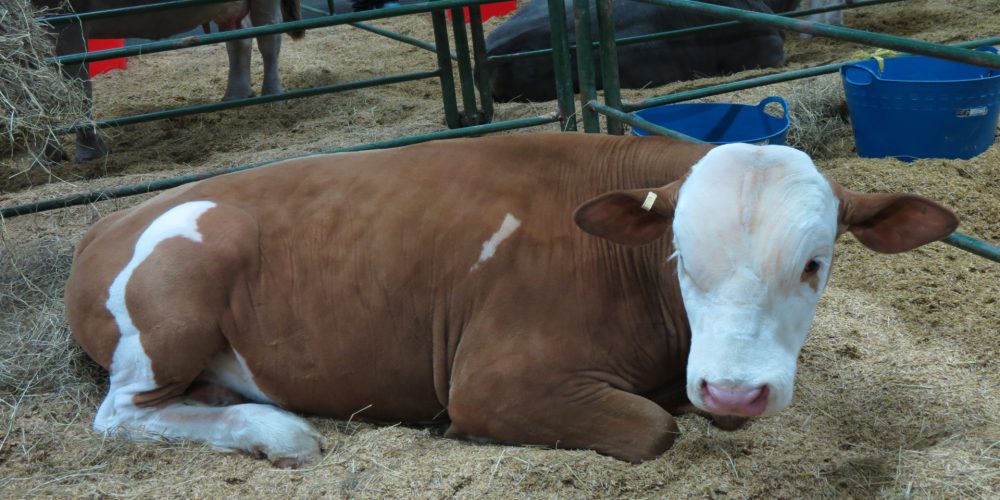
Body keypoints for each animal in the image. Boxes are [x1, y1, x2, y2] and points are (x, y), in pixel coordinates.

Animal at [34, 0, 303, 162]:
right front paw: (48, 155)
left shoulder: (67, 19)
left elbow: (78, 85)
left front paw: (88, 150)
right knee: (239, 37)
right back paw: (235, 96)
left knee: (268, 36)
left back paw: (273, 97)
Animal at [64, 133, 958, 466]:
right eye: (680, 256)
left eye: (815, 263)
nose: (734, 390)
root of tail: (108, 215)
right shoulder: (494, 382)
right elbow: (654, 427)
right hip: (179, 285)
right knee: (121, 413)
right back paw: (276, 430)